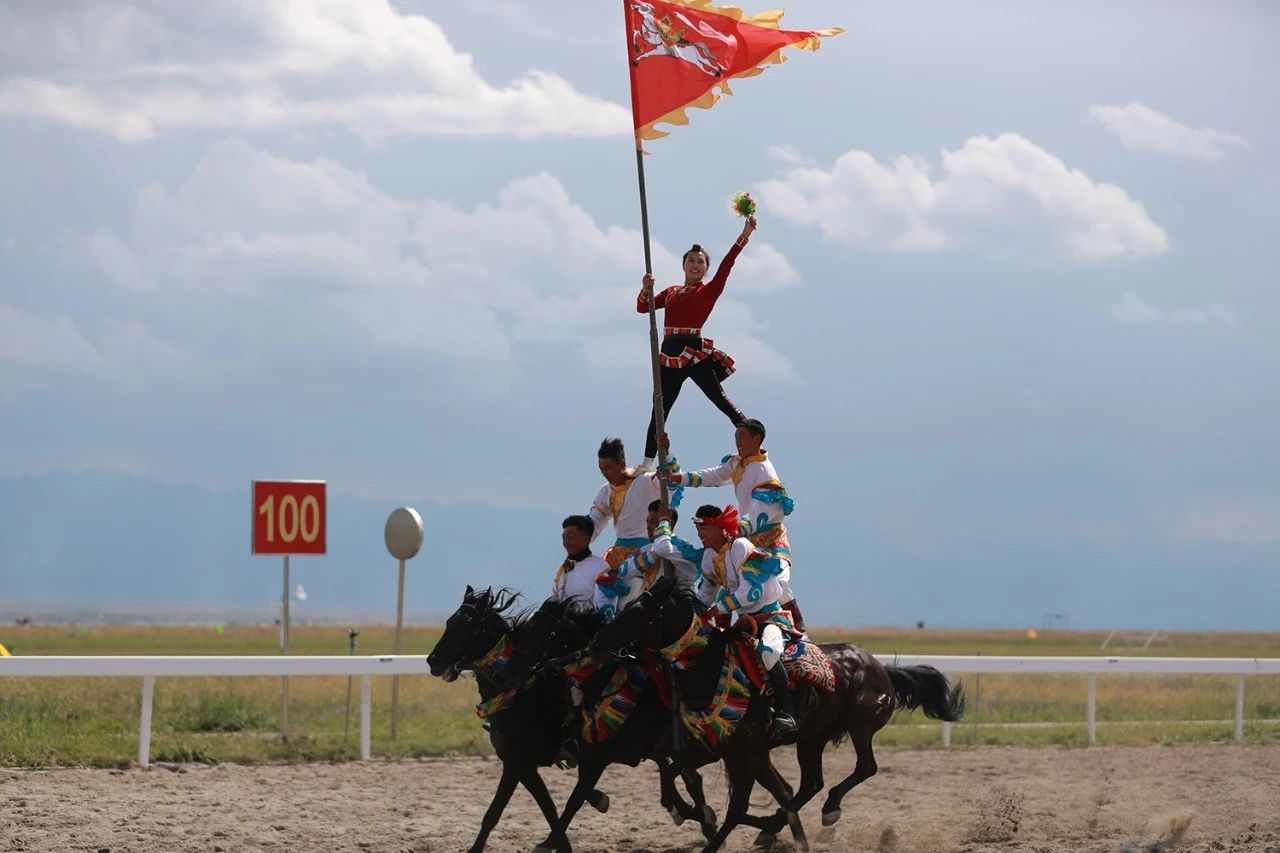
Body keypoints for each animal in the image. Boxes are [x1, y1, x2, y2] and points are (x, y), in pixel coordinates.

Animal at [424, 584, 609, 850]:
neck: (517, 695)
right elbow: (542, 809)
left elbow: (507, 812)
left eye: (467, 623)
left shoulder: (518, 763)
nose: (433, 662)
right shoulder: (518, 764)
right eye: (449, 621)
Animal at [586, 581, 962, 845]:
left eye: (638, 611)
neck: (708, 669)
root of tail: (881, 668)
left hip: (860, 726)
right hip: (811, 738)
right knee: (811, 783)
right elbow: (673, 774)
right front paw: (694, 813)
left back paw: (826, 811)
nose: (596, 644)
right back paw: (775, 827)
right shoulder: (713, 748)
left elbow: (735, 807)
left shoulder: (747, 753)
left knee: (864, 767)